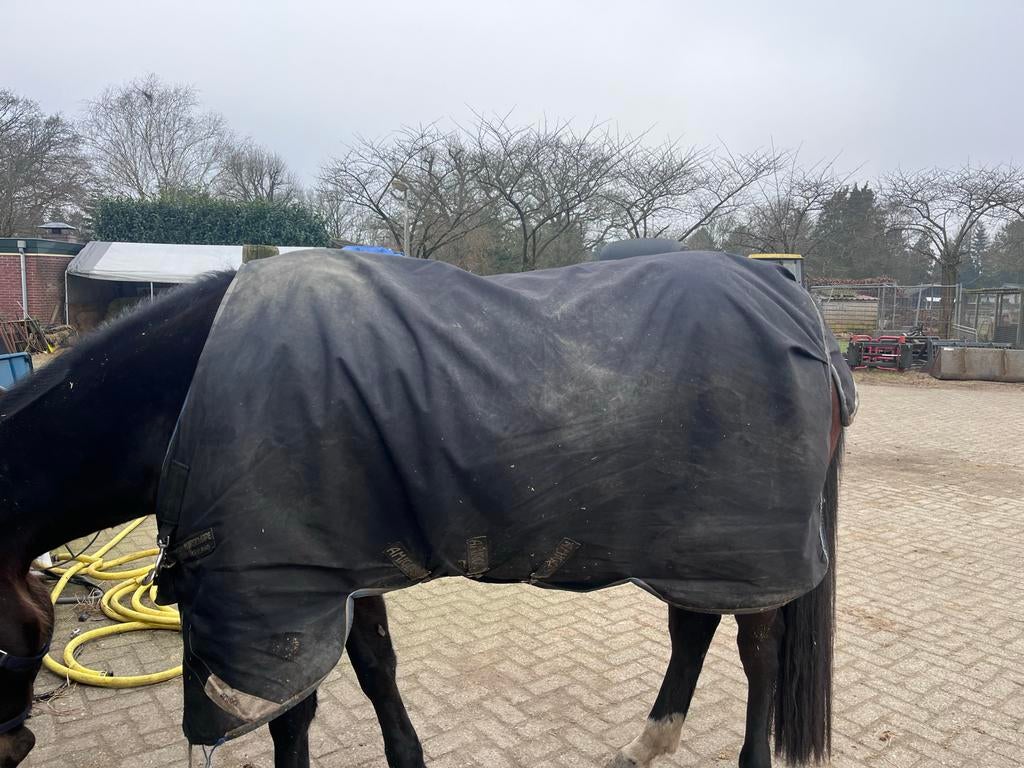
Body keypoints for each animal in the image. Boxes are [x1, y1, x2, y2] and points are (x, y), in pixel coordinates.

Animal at [0, 248, 850, 768]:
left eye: (21, 644)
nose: (14, 748)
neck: (189, 391)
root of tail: (797, 309)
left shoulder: (278, 591)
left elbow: (293, 713)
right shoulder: (339, 567)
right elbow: (376, 669)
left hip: (747, 544)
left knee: (758, 651)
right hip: (692, 545)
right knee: (694, 630)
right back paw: (646, 745)